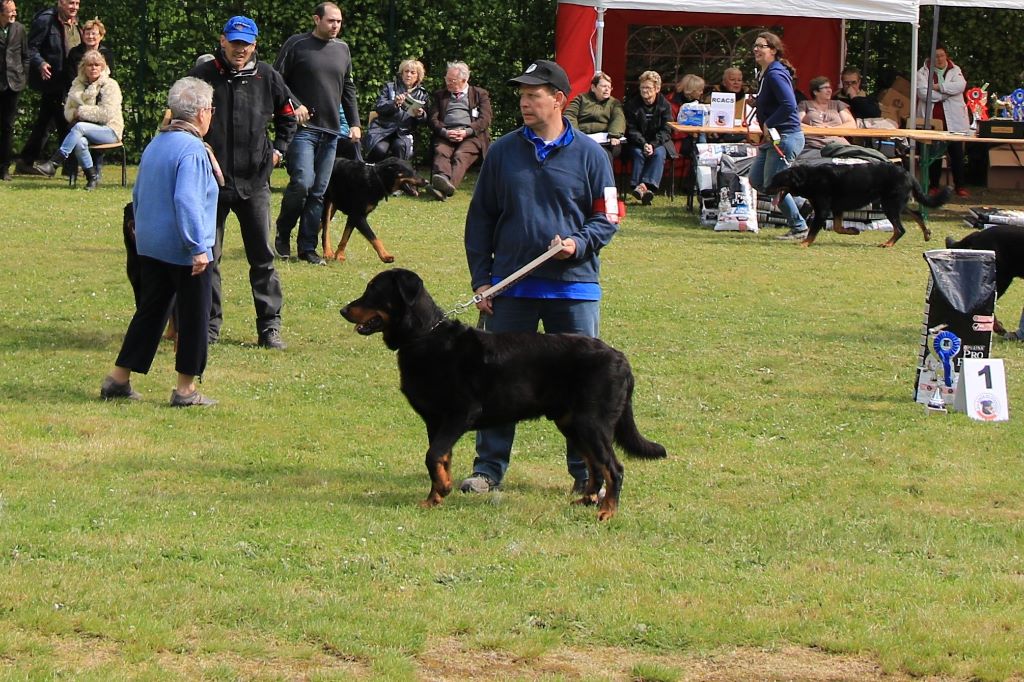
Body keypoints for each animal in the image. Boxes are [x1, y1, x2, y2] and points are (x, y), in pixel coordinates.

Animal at [339, 268, 667, 518]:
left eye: (373, 290)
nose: (343, 310)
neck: (423, 336)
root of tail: (622, 358)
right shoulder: (435, 421)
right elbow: (441, 458)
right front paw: (434, 497)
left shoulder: (461, 413)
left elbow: (432, 456)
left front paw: (442, 489)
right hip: (572, 423)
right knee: (596, 466)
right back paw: (586, 500)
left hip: (592, 423)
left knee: (614, 468)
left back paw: (607, 510)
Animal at [770, 161, 950, 246]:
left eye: (776, 181)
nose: (765, 188)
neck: (808, 178)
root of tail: (909, 174)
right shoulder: (837, 209)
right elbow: (838, 227)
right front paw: (853, 230)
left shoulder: (822, 211)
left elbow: (813, 231)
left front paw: (804, 243)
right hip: (896, 203)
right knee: (917, 214)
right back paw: (926, 233)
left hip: (890, 205)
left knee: (900, 229)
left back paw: (887, 244)